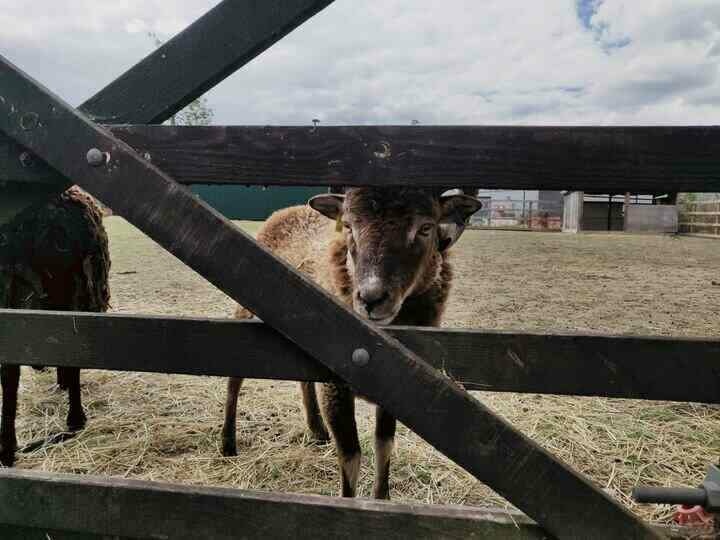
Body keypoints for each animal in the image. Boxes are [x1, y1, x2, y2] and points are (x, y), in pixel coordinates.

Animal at [222, 186, 481, 500]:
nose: (371, 298)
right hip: (245, 313)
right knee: (234, 379)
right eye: (348, 226)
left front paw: (382, 498)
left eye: (426, 228)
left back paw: (317, 430)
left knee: (304, 380)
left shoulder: (400, 389)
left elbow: (384, 446)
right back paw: (227, 443)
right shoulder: (336, 387)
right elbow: (350, 457)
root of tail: (285, 210)